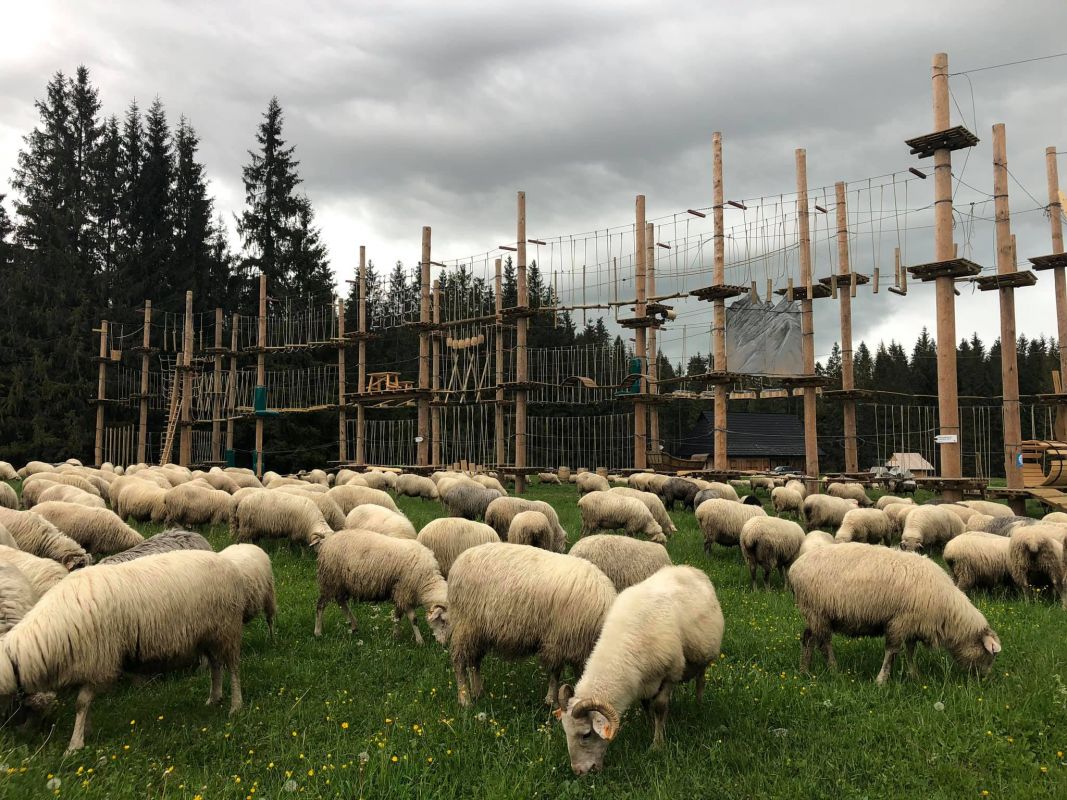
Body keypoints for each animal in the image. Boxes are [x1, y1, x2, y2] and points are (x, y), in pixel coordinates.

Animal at [0, 549, 245, 752]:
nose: (12, 734)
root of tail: (226, 562)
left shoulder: (100, 662)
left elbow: (81, 702)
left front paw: (75, 744)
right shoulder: (83, 665)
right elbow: (83, 704)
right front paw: (86, 731)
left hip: (227, 628)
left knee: (233, 668)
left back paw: (236, 706)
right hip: (208, 635)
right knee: (215, 665)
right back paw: (214, 697)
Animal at [314, 530, 449, 645]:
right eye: (442, 620)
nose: (444, 644)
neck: (426, 581)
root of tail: (328, 539)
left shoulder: (399, 593)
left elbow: (397, 616)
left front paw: (396, 636)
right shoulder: (403, 592)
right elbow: (413, 619)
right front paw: (420, 641)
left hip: (340, 583)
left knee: (341, 602)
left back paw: (354, 626)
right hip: (330, 580)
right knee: (321, 605)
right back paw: (318, 632)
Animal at [446, 542, 616, 707]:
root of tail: (461, 558)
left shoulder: (577, 649)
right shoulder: (558, 642)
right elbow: (555, 673)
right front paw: (551, 701)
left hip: (479, 631)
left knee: (474, 661)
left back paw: (478, 692)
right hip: (465, 624)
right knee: (459, 662)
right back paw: (465, 699)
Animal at [556, 565, 722, 772]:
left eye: (586, 734)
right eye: (565, 731)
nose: (579, 771)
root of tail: (688, 567)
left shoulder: (670, 673)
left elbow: (659, 707)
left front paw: (657, 744)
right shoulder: (642, 681)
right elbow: (646, 705)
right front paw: (650, 726)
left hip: (704, 659)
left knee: (700, 681)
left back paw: (698, 707)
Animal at [790, 543, 1002, 684]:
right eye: (990, 655)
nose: (985, 679)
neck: (947, 612)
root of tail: (794, 568)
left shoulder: (914, 624)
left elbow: (910, 652)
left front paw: (914, 675)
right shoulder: (899, 622)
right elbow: (892, 651)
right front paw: (881, 680)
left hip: (813, 614)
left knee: (808, 638)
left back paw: (804, 670)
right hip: (818, 611)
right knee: (824, 644)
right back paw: (834, 671)